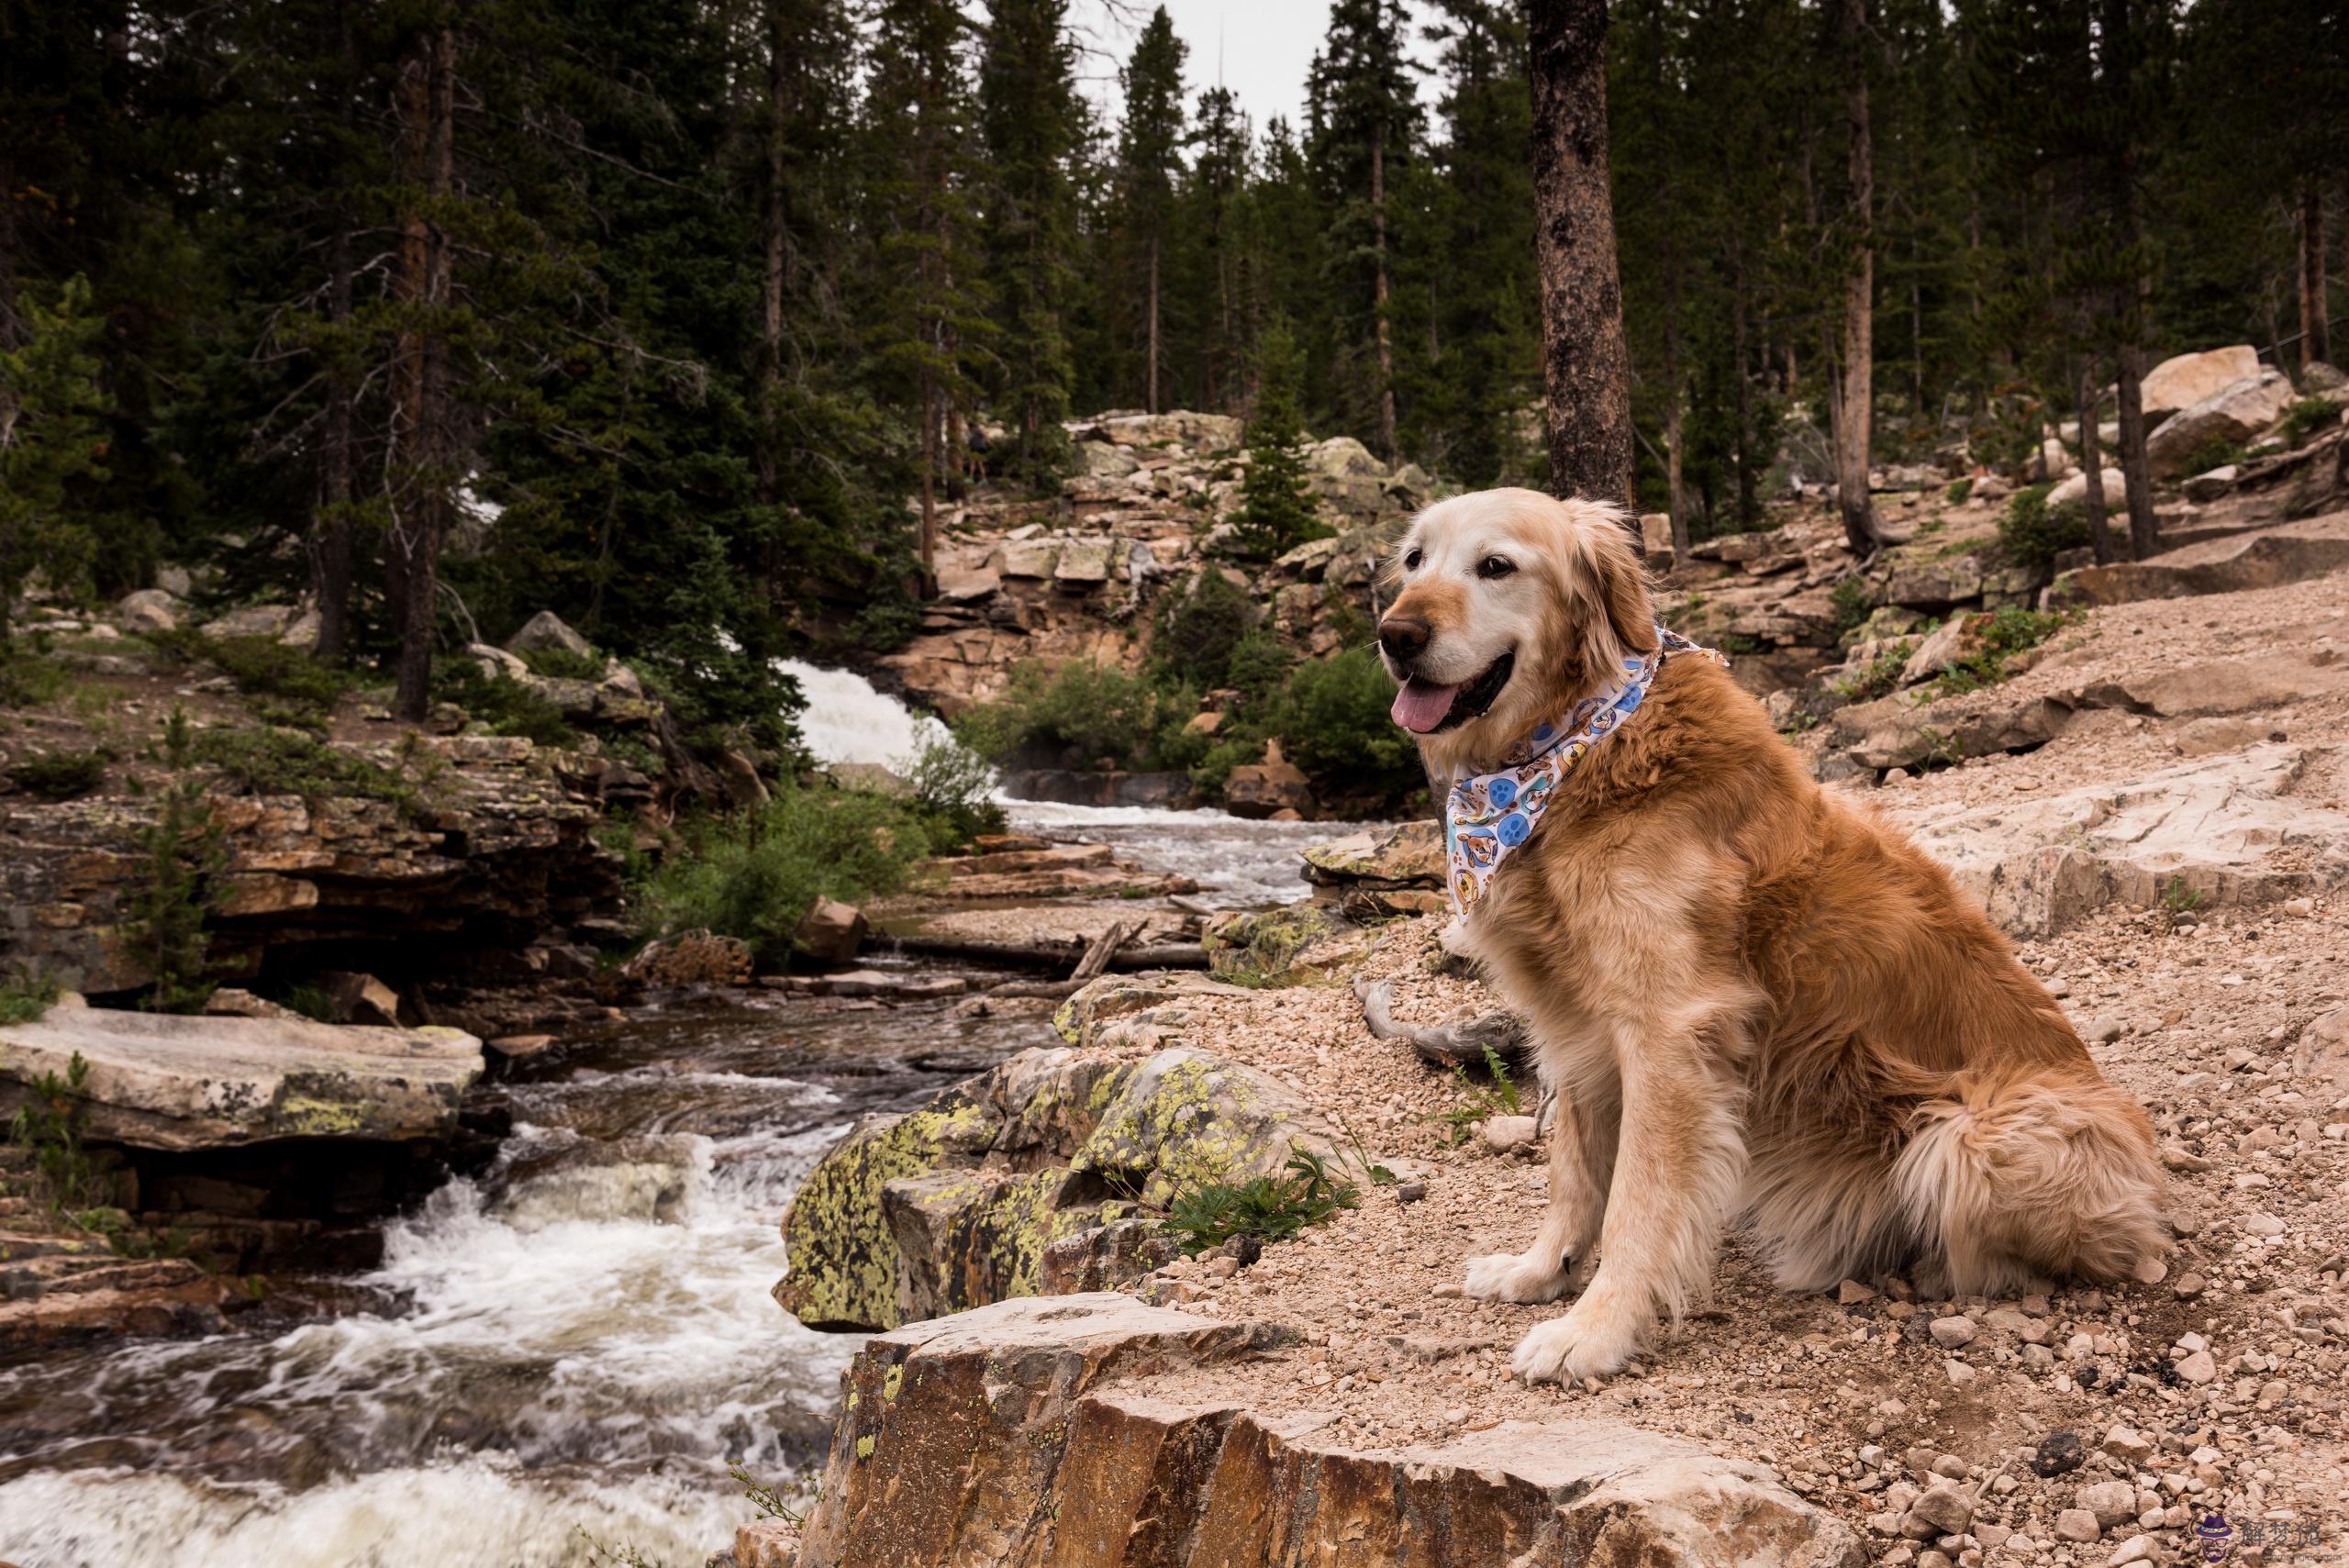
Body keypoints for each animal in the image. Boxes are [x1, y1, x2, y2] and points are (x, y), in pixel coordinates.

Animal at [1372, 490, 2161, 1380]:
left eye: (1496, 565)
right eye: (1413, 561)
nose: (1396, 634)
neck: (1577, 751)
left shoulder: (1667, 1028)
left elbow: (1637, 1198)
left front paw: (1596, 1329)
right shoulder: (1570, 1020)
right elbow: (1574, 1170)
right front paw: (1541, 1270)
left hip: (1972, 1136)